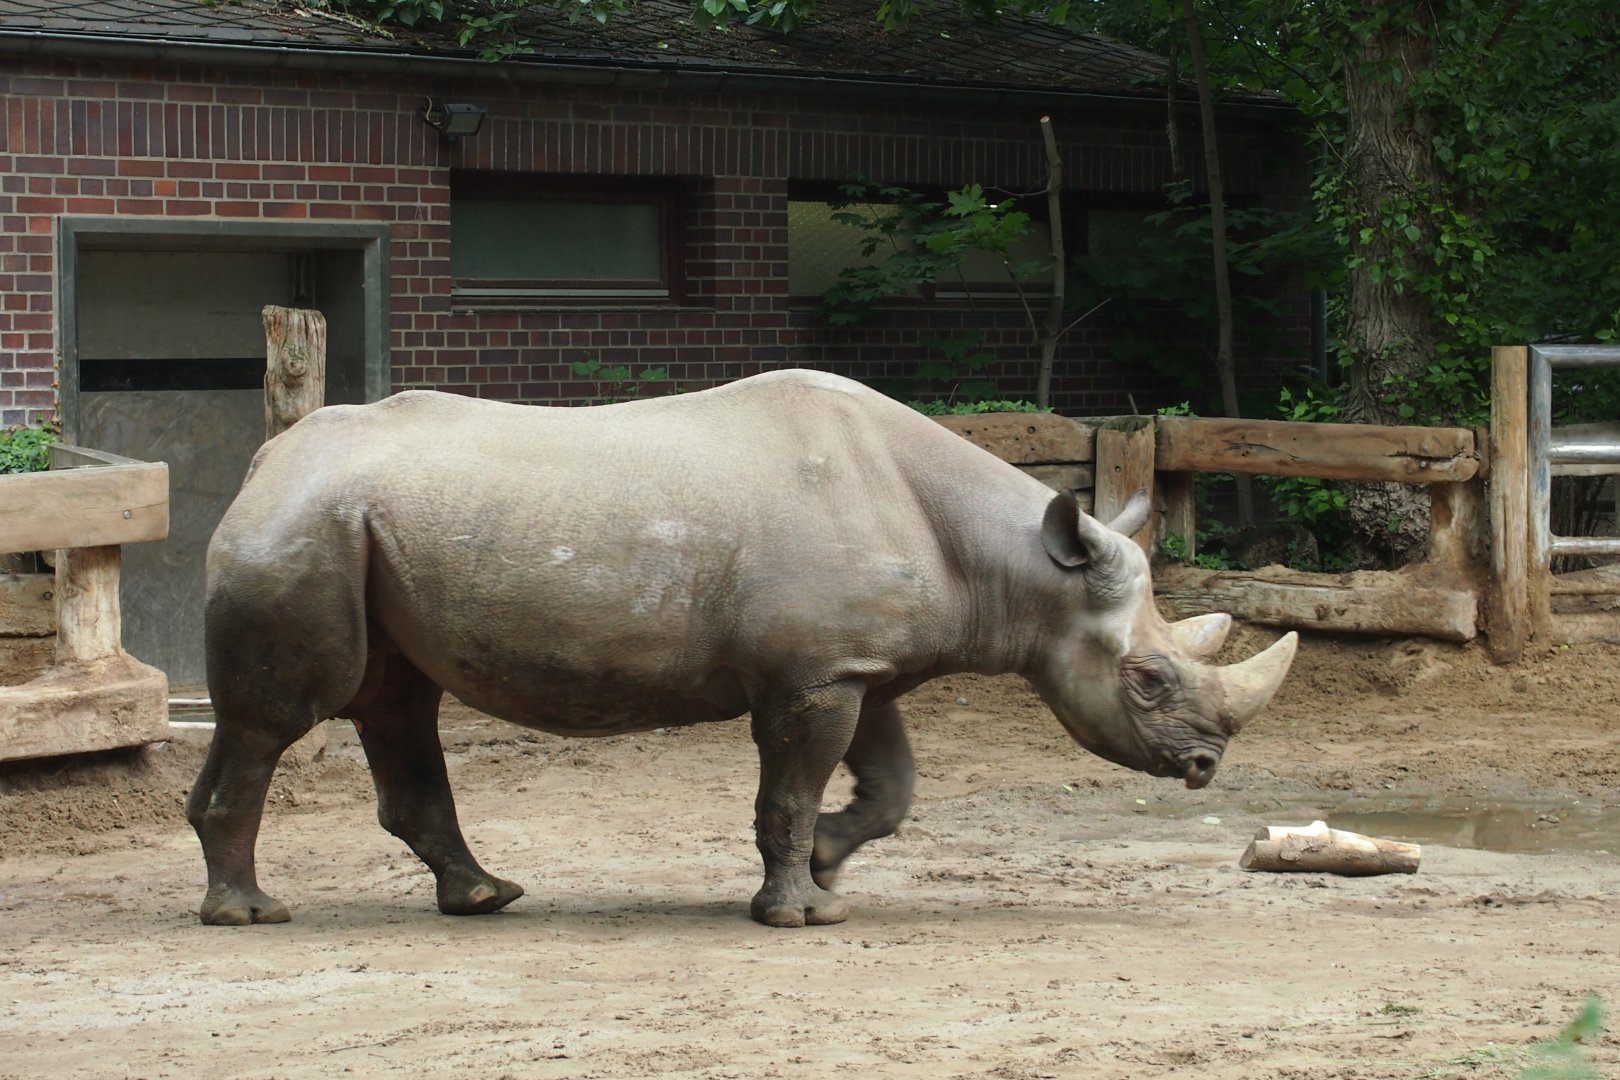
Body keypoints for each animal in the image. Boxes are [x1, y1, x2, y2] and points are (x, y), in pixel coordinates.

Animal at [188, 369, 1296, 928]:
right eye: (1147, 679)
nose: (1207, 765)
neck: (1017, 563)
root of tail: (265, 456)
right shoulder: (814, 676)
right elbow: (792, 789)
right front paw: (799, 912)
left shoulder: (857, 665)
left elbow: (891, 788)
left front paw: (833, 866)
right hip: (302, 527)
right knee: (281, 718)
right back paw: (250, 915)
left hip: (353, 524)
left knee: (394, 701)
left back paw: (484, 898)